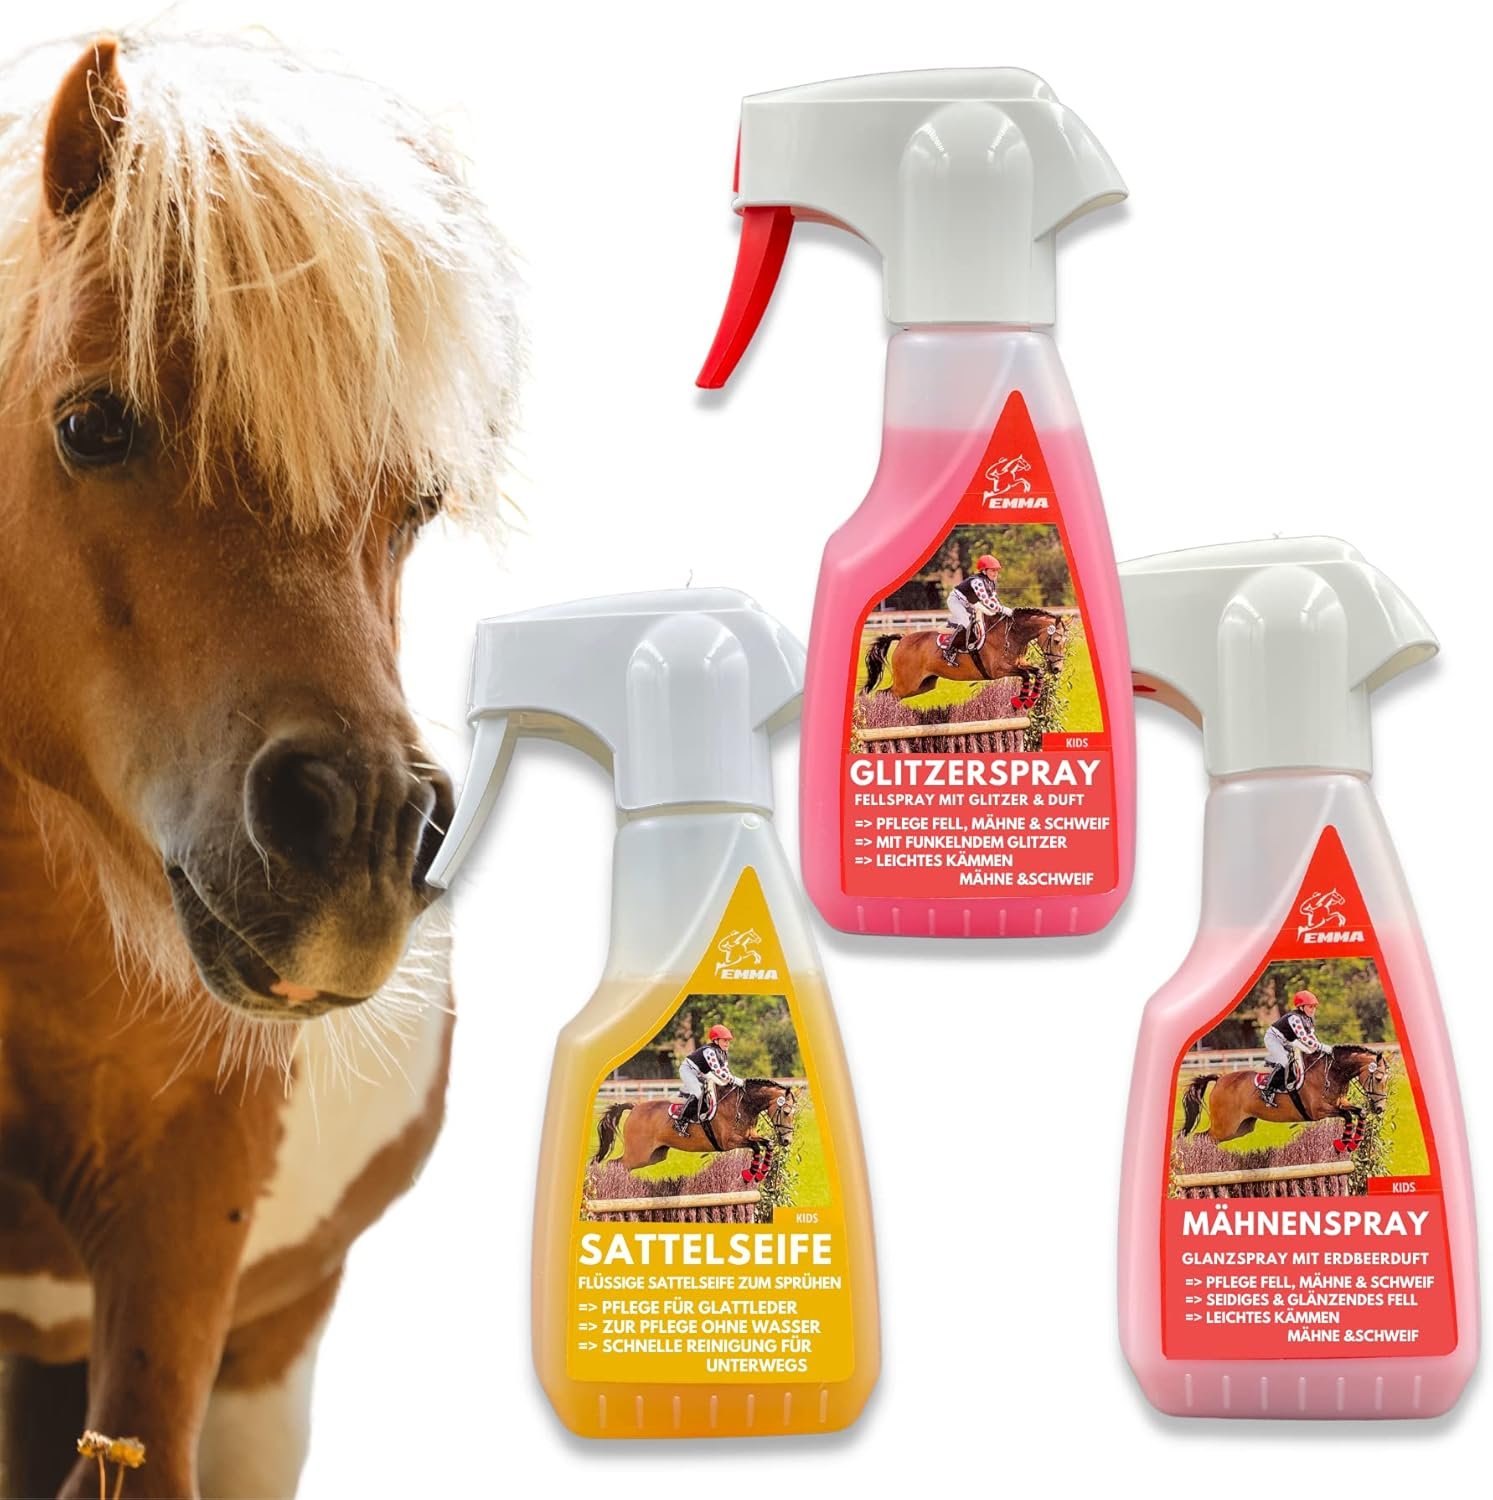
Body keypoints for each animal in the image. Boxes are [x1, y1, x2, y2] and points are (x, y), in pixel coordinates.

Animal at [592, 1080, 798, 1183]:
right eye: (786, 1112)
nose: (787, 1141)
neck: (742, 1105)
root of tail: (635, 1107)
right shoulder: (729, 1141)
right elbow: (756, 1146)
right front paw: (751, 1173)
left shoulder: (749, 1135)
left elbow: (766, 1143)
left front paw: (760, 1173)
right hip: (639, 1154)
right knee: (614, 1164)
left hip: (653, 1156)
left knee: (621, 1165)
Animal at [863, 608, 1068, 706]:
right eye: (1057, 640)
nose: (1057, 669)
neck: (1012, 634)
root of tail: (903, 638)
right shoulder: (999, 670)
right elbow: (1026, 674)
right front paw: (1022, 700)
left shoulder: (1019, 663)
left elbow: (1037, 671)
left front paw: (1030, 699)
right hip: (907, 683)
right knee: (884, 694)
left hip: (922, 685)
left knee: (888, 695)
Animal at [1179, 1045, 1390, 1153]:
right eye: (1379, 1078)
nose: (1380, 1108)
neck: (1331, 1072)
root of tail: (1220, 1079)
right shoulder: (1319, 1110)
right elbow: (1347, 1115)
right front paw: (1344, 1142)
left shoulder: (1340, 1103)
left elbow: (1359, 1112)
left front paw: (1353, 1142)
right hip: (1225, 1126)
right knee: (1201, 1137)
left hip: (1240, 1128)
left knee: (1207, 1138)